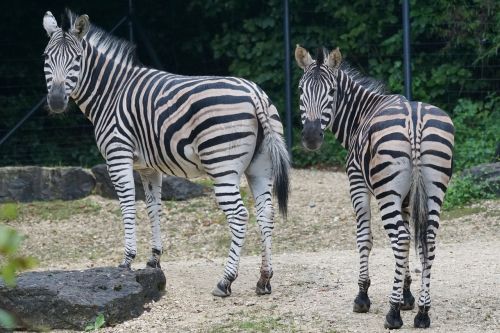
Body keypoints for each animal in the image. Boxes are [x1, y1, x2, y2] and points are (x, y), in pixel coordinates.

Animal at [41, 9, 292, 296]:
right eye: (47, 57)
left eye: (77, 59)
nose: (56, 101)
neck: (112, 93)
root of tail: (255, 94)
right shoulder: (149, 168)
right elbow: (154, 208)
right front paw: (153, 260)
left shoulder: (118, 156)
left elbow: (127, 206)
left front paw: (127, 260)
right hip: (260, 168)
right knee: (266, 214)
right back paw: (264, 279)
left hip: (222, 166)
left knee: (239, 215)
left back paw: (225, 280)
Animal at [294, 45, 456, 328]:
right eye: (302, 90)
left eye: (332, 92)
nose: (312, 137)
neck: (362, 115)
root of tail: (414, 118)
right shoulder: (407, 198)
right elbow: (410, 239)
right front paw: (407, 296)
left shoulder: (356, 183)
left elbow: (364, 238)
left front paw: (363, 296)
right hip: (434, 188)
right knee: (427, 240)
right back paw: (423, 313)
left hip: (385, 191)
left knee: (400, 238)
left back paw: (392, 314)